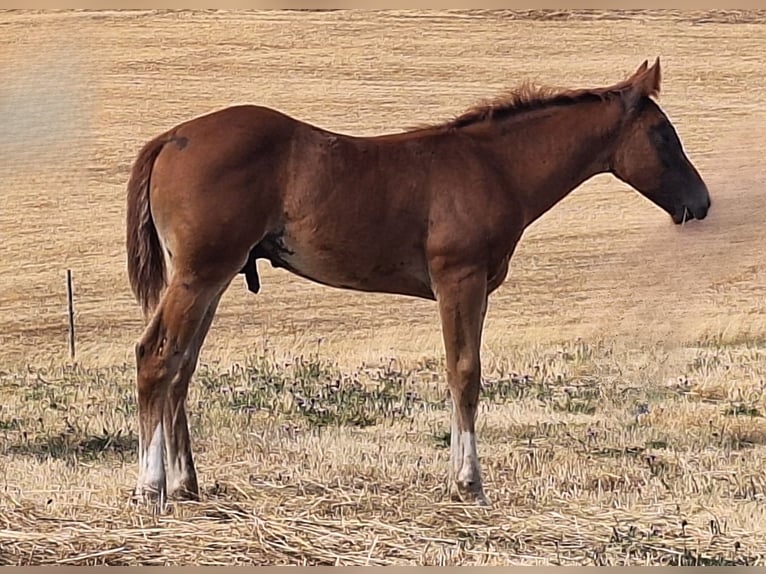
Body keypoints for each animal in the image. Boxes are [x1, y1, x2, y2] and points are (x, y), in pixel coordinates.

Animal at [125, 57, 711, 508]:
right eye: (663, 134)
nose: (700, 202)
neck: (494, 166)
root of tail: (172, 138)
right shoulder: (459, 279)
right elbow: (465, 373)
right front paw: (468, 485)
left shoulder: (476, 287)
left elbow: (463, 374)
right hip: (201, 274)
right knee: (156, 356)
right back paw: (152, 488)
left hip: (211, 277)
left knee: (181, 365)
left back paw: (187, 485)